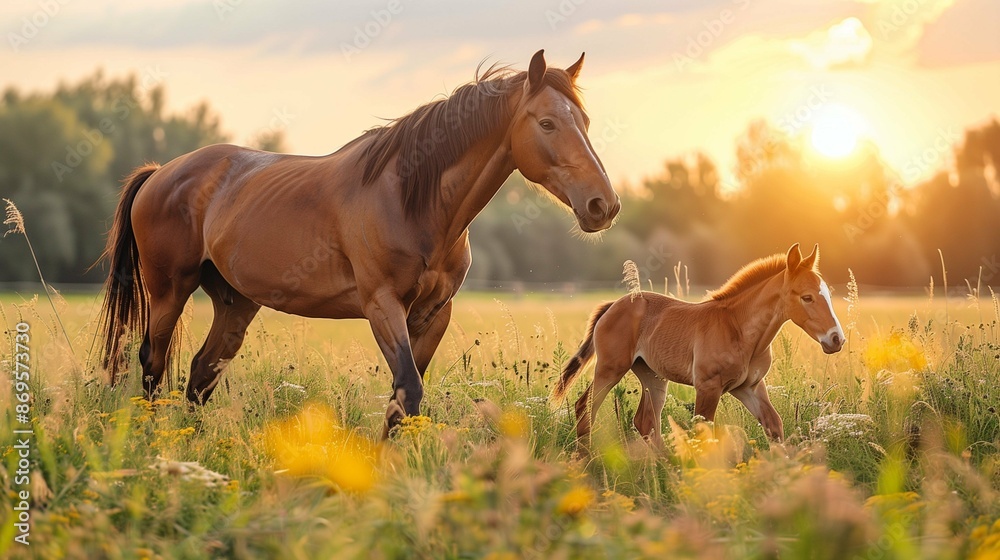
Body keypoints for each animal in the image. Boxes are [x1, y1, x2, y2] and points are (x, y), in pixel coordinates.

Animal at [98, 50, 620, 436]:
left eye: (586, 122)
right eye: (547, 123)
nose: (604, 205)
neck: (410, 199)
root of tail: (160, 172)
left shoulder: (434, 314)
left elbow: (402, 397)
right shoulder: (382, 305)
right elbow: (408, 390)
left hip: (235, 302)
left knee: (201, 373)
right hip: (170, 291)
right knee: (152, 363)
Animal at [550, 243, 844, 446]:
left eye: (827, 295)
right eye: (807, 297)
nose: (836, 339)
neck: (739, 329)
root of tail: (613, 305)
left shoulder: (749, 387)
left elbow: (774, 427)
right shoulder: (708, 387)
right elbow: (704, 433)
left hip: (652, 376)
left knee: (646, 421)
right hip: (611, 368)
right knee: (585, 407)